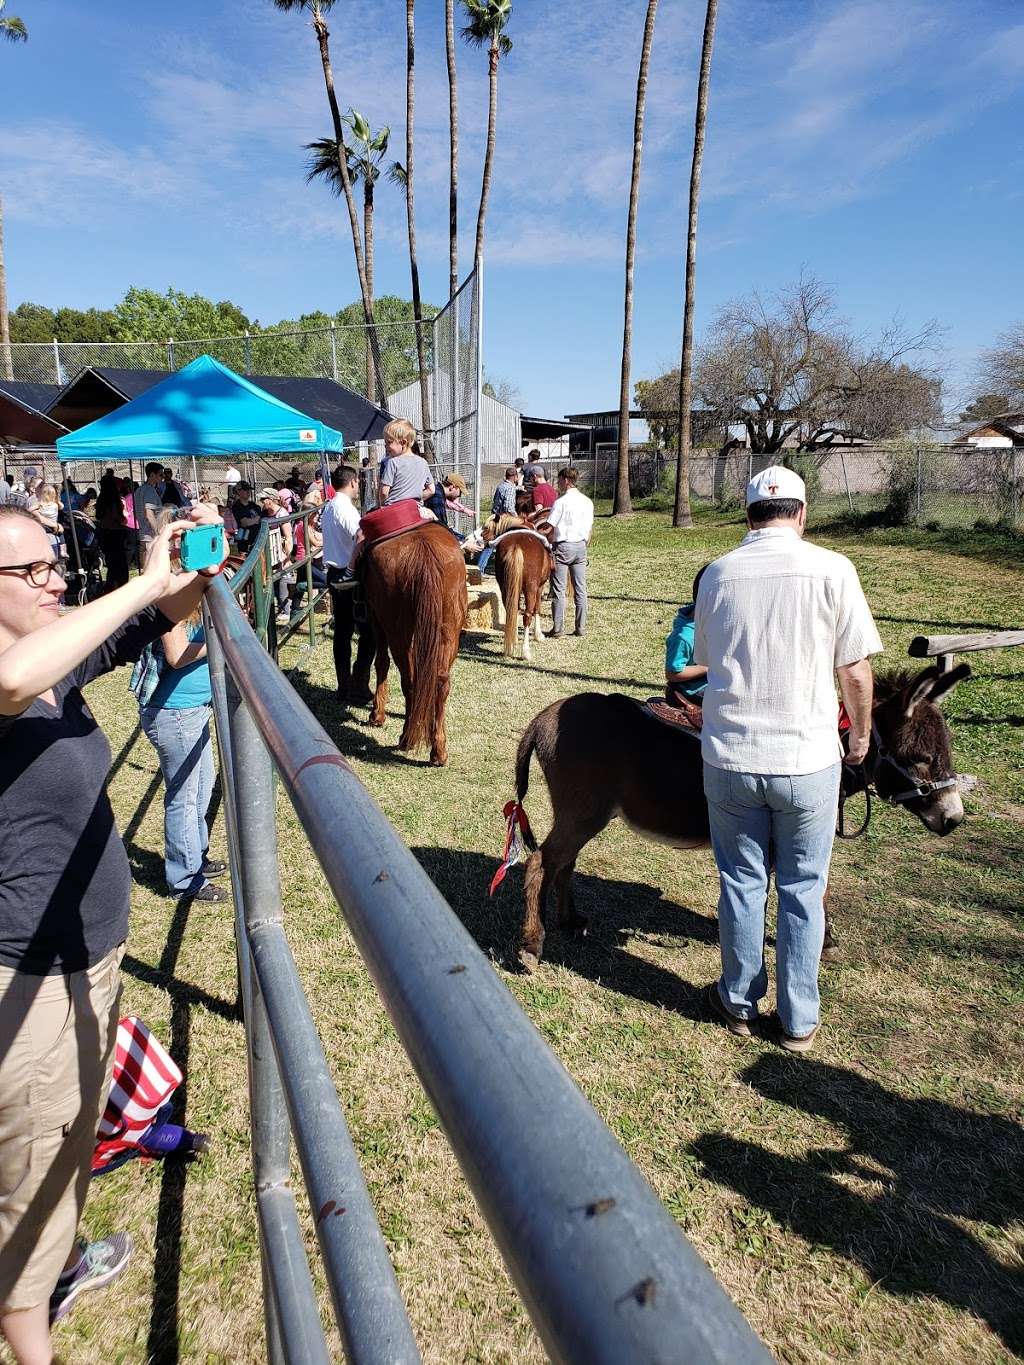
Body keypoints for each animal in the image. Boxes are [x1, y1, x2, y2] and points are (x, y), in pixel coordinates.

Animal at [357, 518, 469, 764]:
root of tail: (422, 550)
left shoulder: (376, 619)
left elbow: (381, 663)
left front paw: (377, 714)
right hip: (448, 631)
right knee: (441, 682)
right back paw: (438, 750)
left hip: (398, 633)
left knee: (409, 680)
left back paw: (407, 739)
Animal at [486, 513, 554, 660]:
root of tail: (516, 545)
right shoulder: (539, 587)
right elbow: (537, 609)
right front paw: (539, 635)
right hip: (530, 588)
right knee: (527, 615)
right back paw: (525, 651)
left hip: (504, 587)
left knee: (511, 609)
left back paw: (511, 643)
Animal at [510, 663, 972, 966]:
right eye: (920, 758)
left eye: (945, 751)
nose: (954, 819)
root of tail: (542, 717)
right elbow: (813, 889)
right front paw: (822, 943)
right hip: (582, 812)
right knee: (540, 862)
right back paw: (532, 945)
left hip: (584, 814)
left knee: (564, 863)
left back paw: (569, 920)